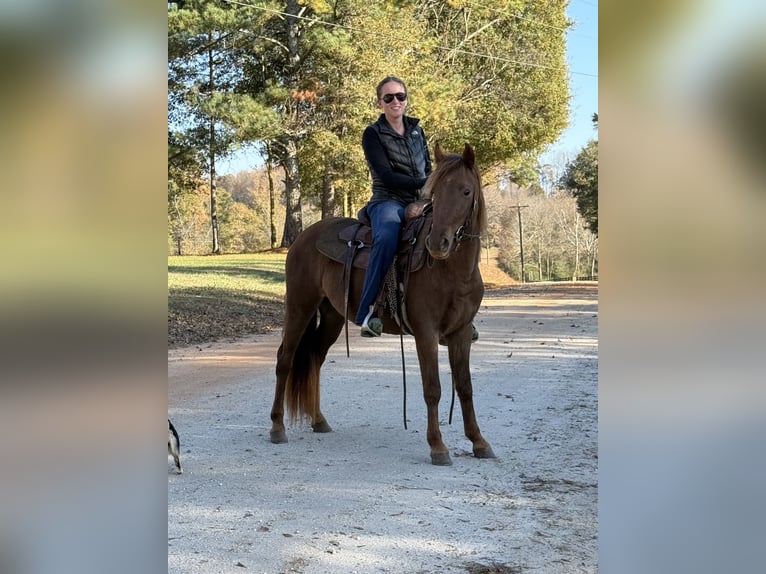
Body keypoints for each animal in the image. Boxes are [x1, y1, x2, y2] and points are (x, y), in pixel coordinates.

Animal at [269, 143, 495, 466]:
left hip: (332, 316)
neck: (452, 271)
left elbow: (464, 387)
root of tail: (303, 237)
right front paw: (437, 446)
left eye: (466, 191)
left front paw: (478, 441)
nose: (437, 244)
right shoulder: (425, 332)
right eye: (435, 193)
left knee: (314, 358)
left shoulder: (461, 333)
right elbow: (433, 388)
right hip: (300, 306)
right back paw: (277, 426)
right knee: (285, 359)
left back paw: (319, 420)